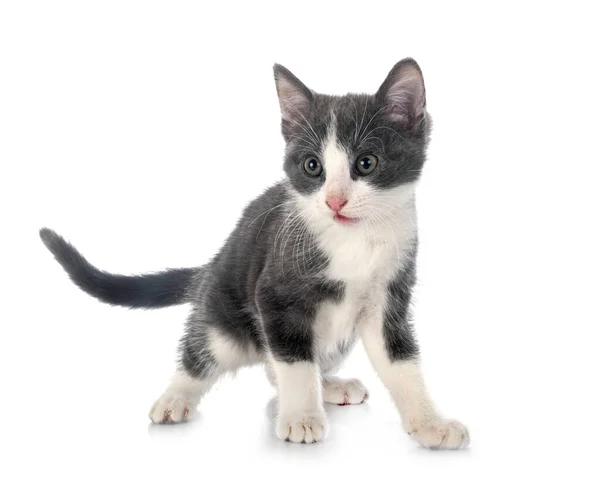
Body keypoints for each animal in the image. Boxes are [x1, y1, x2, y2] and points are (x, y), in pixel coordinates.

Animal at [41, 59, 468, 448]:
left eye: (366, 163)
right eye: (312, 166)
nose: (334, 201)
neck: (355, 242)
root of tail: (210, 267)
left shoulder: (389, 297)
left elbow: (401, 361)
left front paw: (430, 423)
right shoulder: (275, 294)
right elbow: (294, 361)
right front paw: (301, 418)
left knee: (277, 363)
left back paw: (328, 385)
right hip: (224, 316)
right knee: (209, 349)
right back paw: (176, 397)